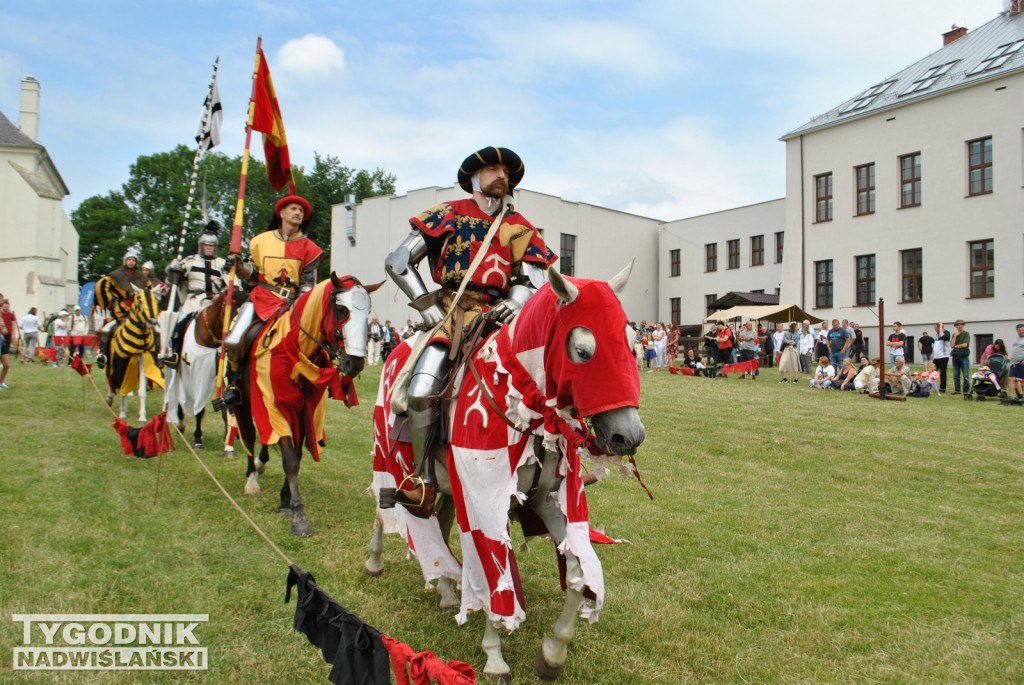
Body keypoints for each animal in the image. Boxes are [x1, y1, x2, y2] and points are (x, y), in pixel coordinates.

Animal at [234, 272, 378, 532]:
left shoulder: (304, 411)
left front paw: (286, 500)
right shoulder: (274, 405)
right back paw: (252, 479)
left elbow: (296, 455)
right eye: (341, 310)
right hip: (244, 402)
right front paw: (299, 515)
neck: (294, 353)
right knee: (248, 435)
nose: (355, 363)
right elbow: (290, 458)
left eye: (368, 314)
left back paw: (261, 464)